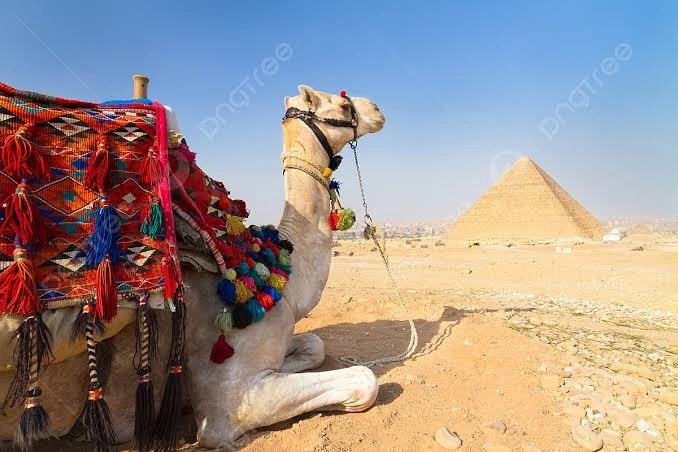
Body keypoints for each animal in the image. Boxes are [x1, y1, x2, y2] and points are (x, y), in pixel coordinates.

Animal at [0, 84, 386, 449]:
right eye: (343, 105)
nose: (377, 109)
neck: (284, 282)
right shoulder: (229, 399)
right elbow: (364, 380)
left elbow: (314, 345)